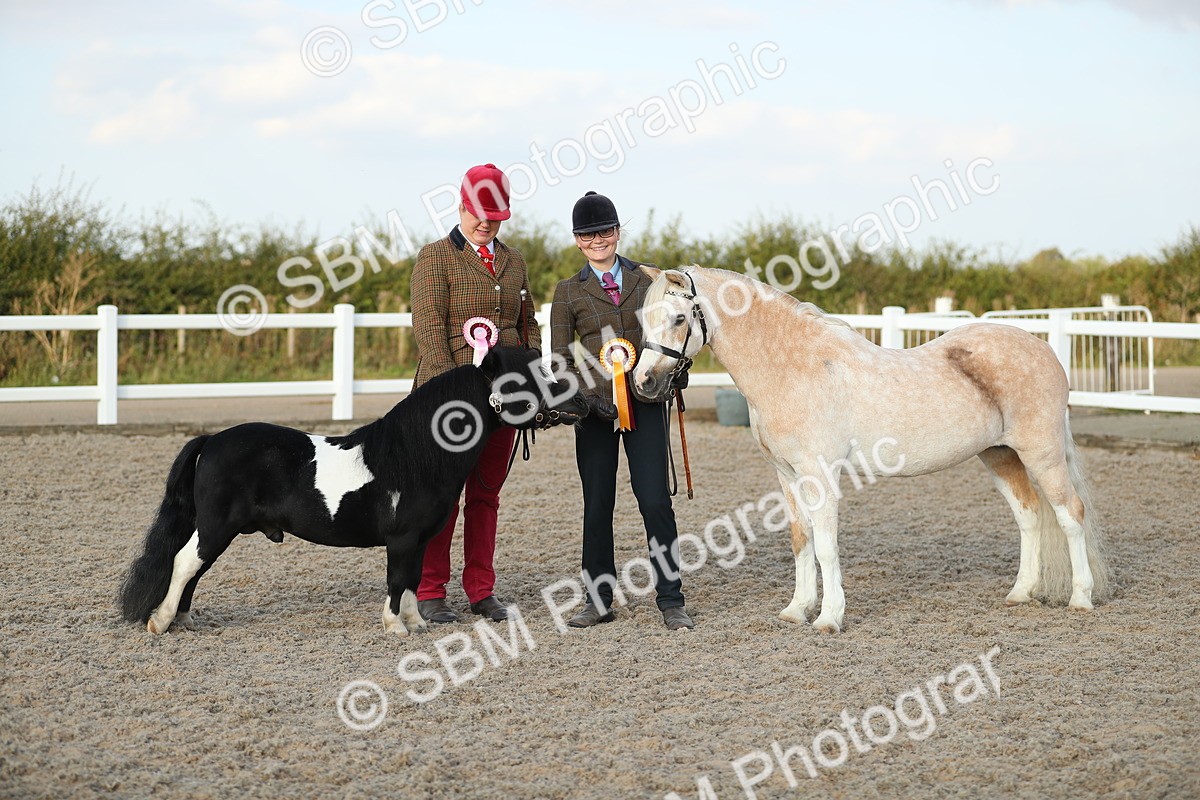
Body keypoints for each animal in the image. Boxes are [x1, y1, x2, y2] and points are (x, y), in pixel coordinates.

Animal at [118, 346, 589, 636]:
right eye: (525, 377)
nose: (582, 403)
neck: (416, 453)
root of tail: (211, 440)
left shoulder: (419, 539)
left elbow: (412, 580)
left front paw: (415, 624)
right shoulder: (401, 539)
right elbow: (397, 579)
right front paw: (395, 627)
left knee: (193, 568)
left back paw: (183, 621)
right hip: (216, 526)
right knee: (185, 562)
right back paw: (160, 622)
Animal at [632, 266, 1109, 633]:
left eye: (679, 317)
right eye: (644, 319)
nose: (643, 383)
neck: (794, 367)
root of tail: (1043, 348)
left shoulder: (820, 473)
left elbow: (826, 546)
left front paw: (829, 619)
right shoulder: (786, 475)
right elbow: (801, 540)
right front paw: (796, 611)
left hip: (1042, 454)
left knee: (1071, 514)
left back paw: (1081, 599)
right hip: (999, 455)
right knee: (1029, 515)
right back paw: (1020, 593)